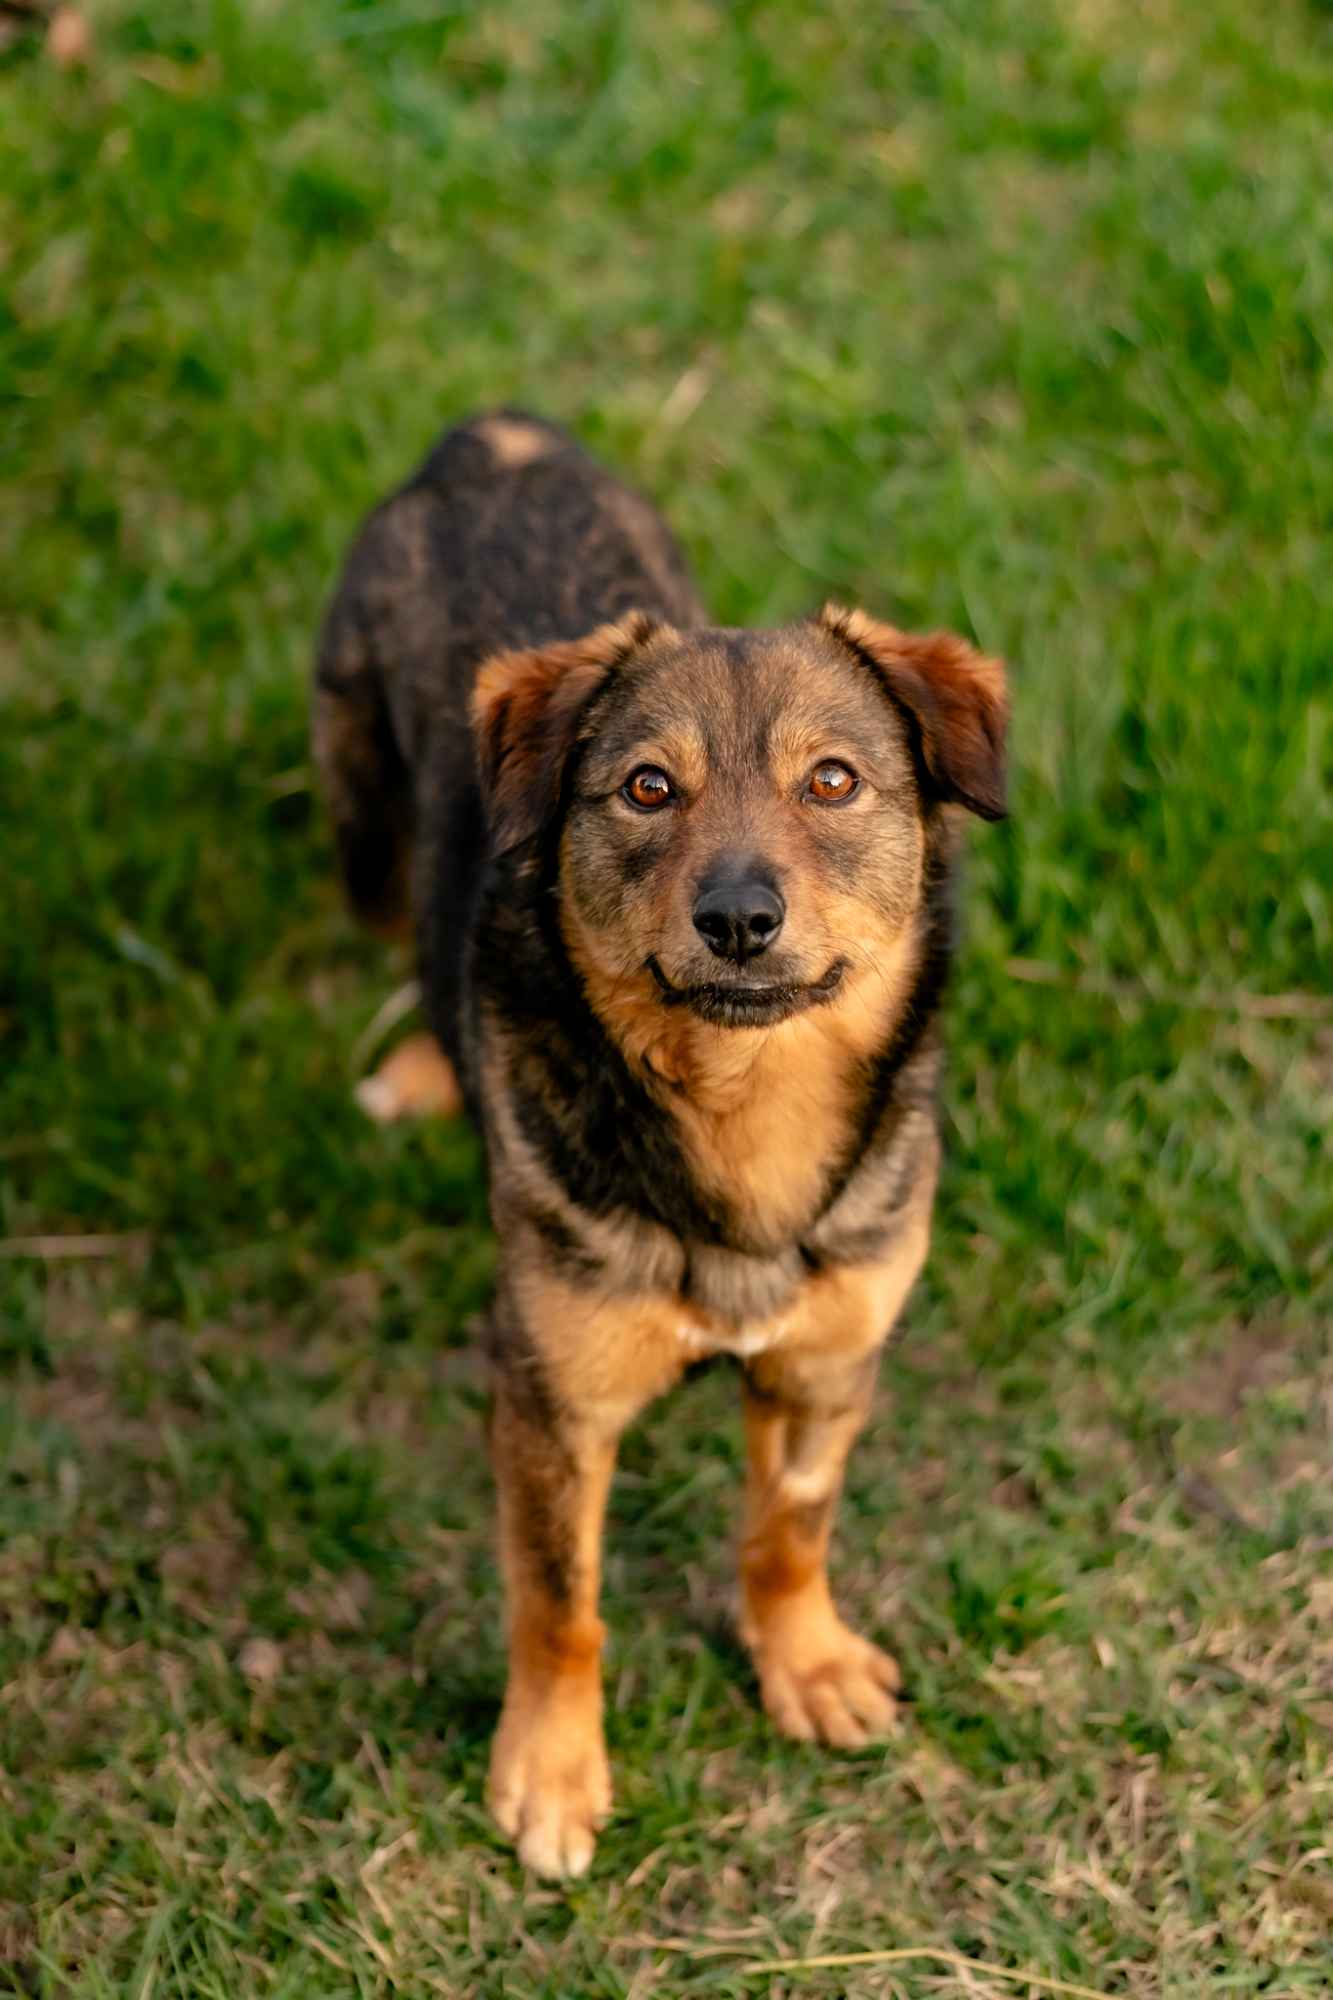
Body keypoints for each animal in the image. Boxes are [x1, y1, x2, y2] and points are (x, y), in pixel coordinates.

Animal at [312, 414, 1000, 1880]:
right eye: (645, 788)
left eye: (834, 779)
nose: (739, 915)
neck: (741, 1113)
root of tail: (494, 436)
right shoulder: (548, 1401)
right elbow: (558, 1601)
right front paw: (551, 1775)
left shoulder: (827, 1360)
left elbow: (789, 1530)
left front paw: (805, 1665)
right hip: (357, 816)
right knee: (402, 924)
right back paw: (425, 1068)